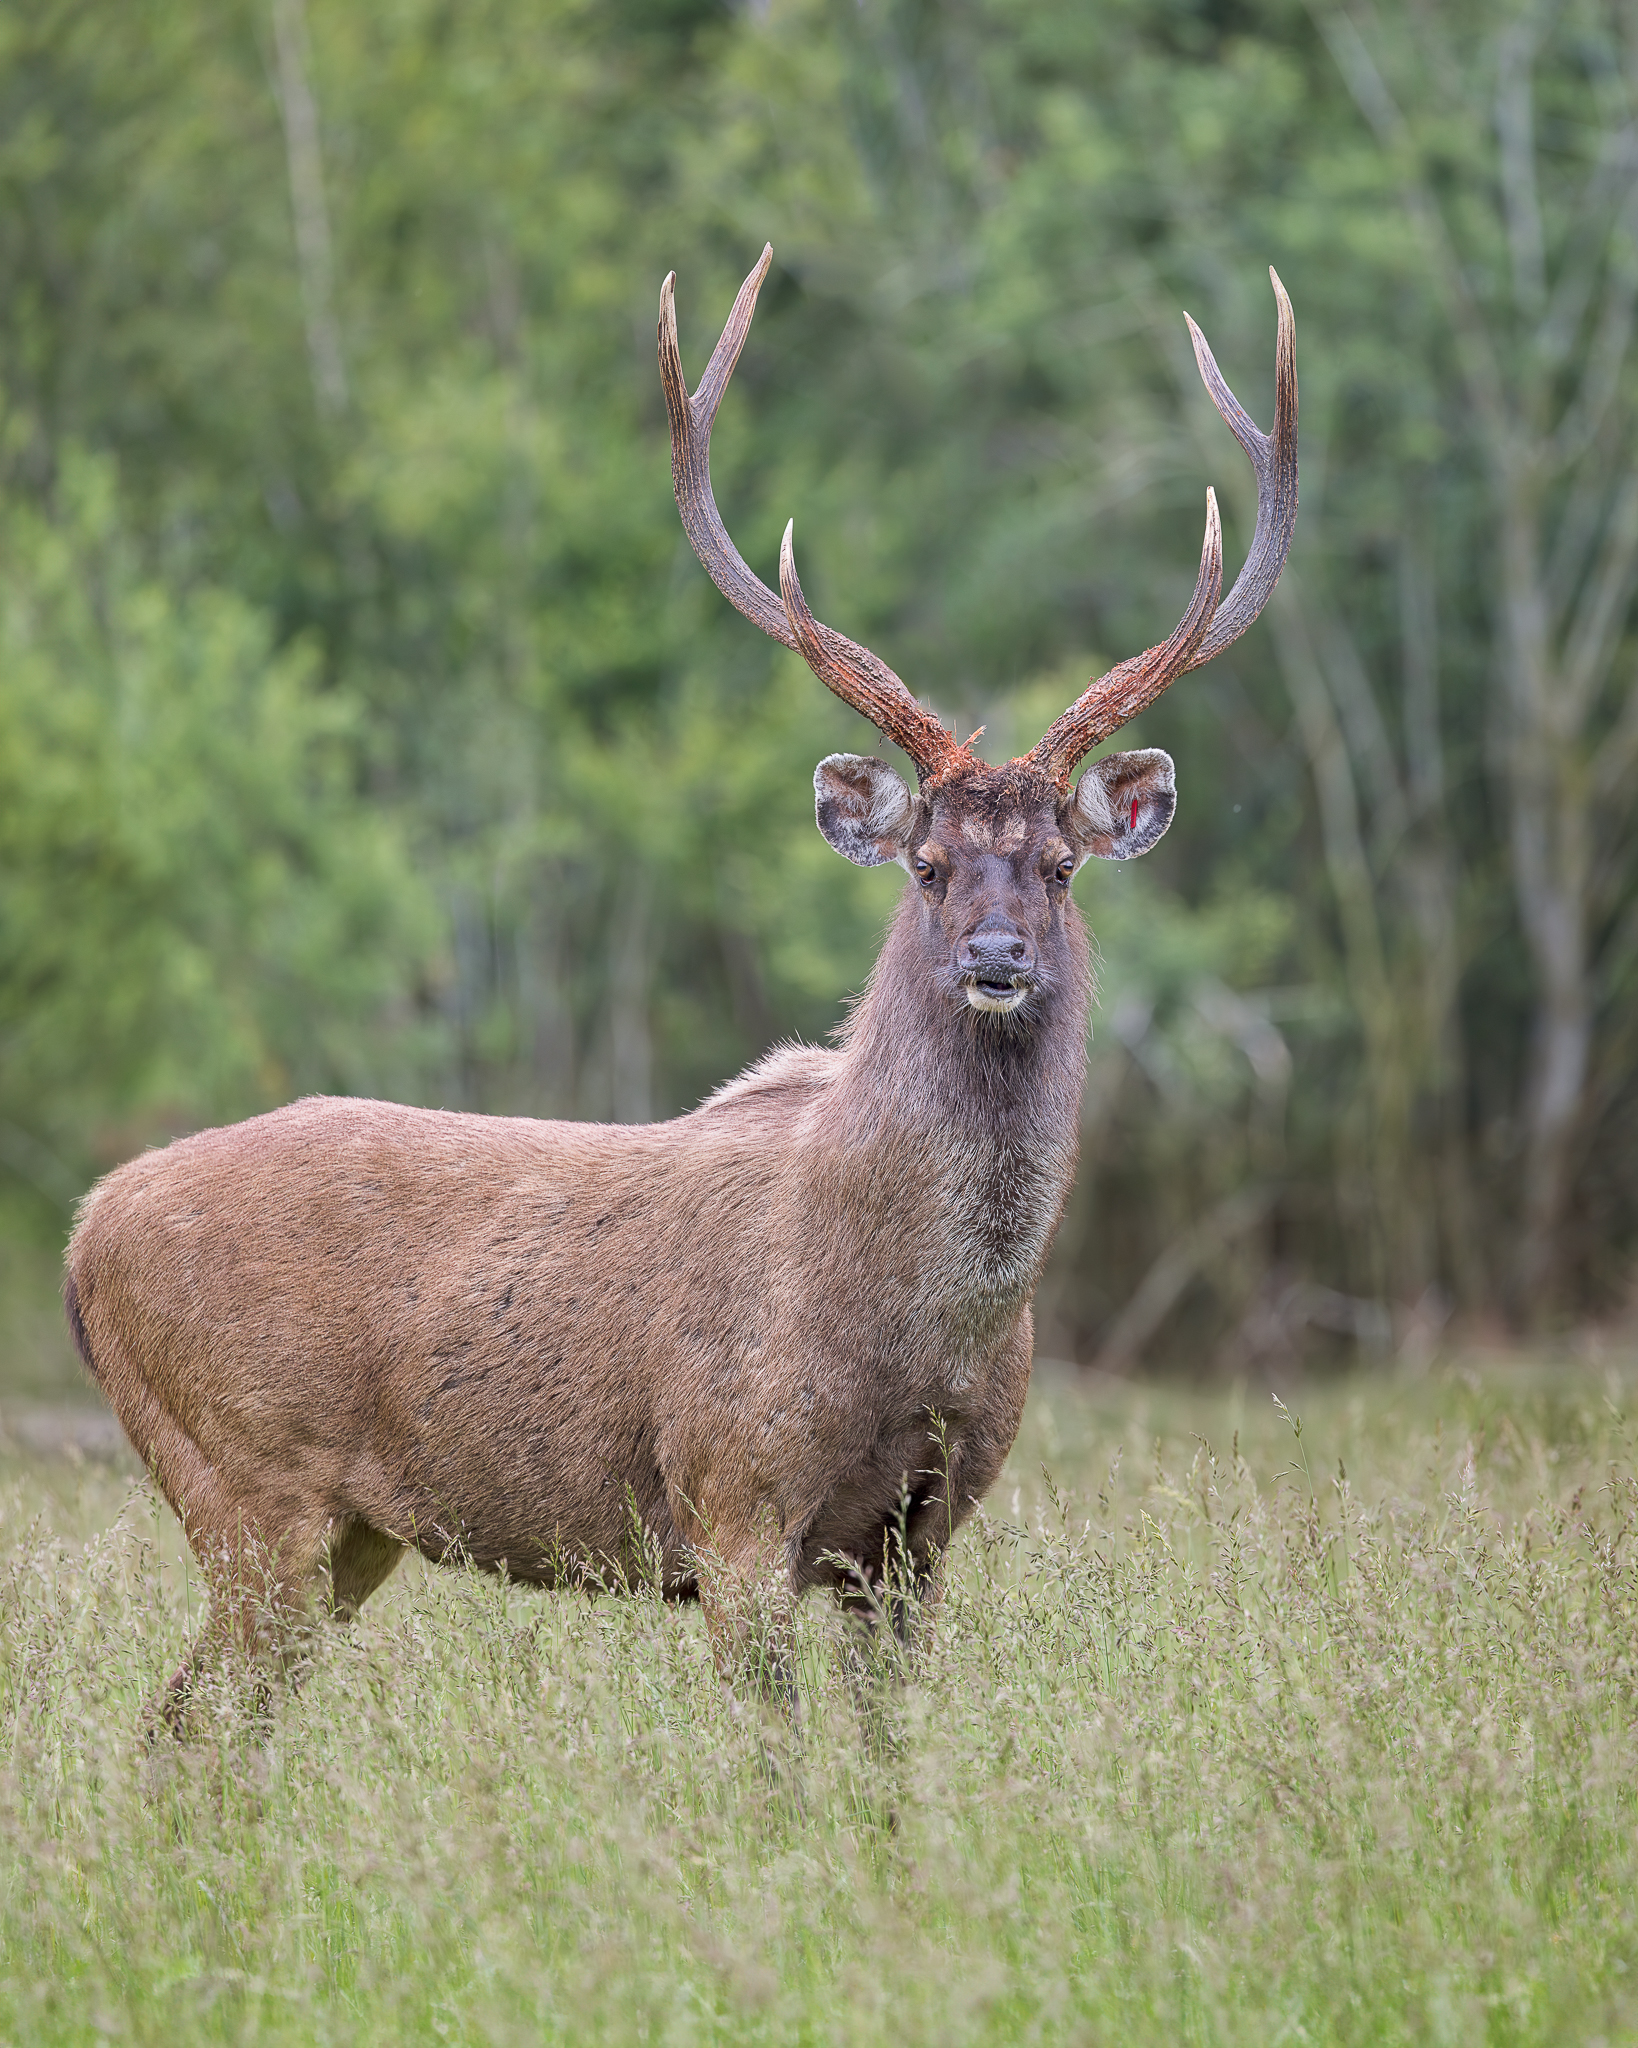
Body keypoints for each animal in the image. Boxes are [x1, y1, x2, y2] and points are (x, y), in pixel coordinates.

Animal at [60, 239, 1294, 1720]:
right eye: (927, 863)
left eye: (1059, 867)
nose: (995, 962)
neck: (913, 1323)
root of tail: (82, 1236)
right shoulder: (732, 1492)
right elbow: (776, 1752)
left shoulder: (919, 1536)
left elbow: (888, 1752)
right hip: (245, 1480)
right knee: (182, 1717)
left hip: (340, 1531)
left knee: (197, 1723)